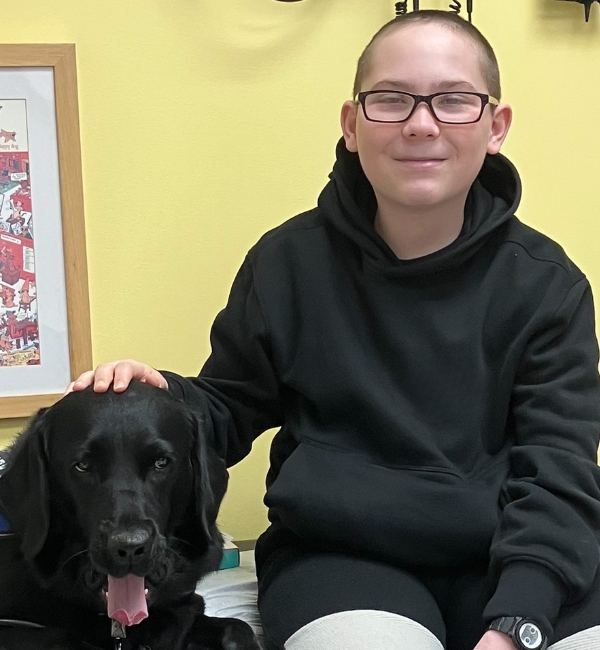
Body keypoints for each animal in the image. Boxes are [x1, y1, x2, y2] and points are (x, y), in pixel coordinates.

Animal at [0, 382, 260, 650]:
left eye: (161, 462)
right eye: (83, 465)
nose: (130, 547)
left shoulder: (183, 608)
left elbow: (238, 627)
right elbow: (61, 637)